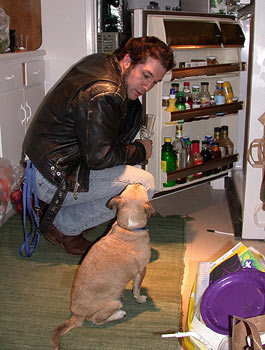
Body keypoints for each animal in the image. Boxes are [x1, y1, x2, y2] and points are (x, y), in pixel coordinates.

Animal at [50, 183, 155, 350]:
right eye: (143, 190)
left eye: (131, 187)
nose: (138, 182)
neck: (128, 228)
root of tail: (78, 315)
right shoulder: (141, 271)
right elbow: (137, 289)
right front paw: (140, 298)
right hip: (115, 303)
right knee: (97, 320)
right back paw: (119, 314)